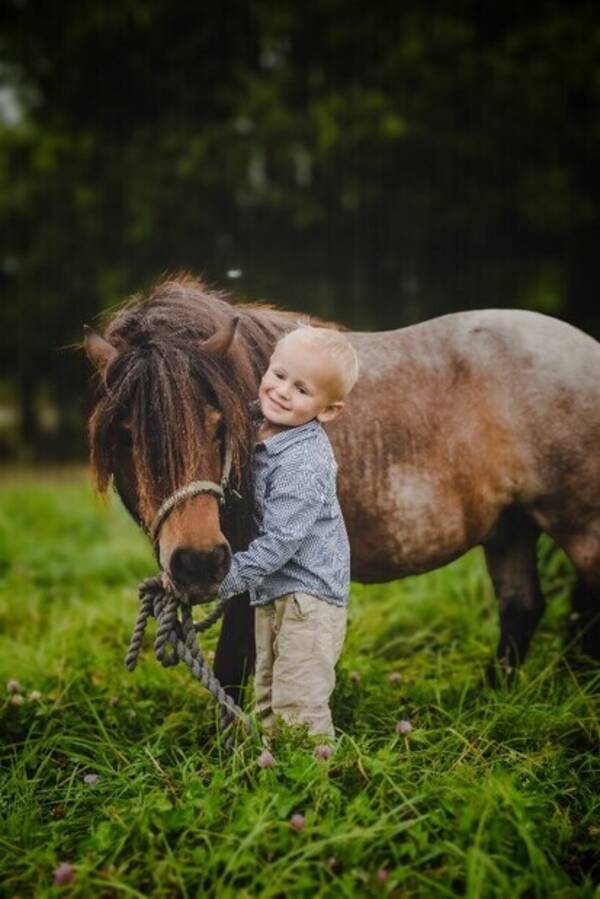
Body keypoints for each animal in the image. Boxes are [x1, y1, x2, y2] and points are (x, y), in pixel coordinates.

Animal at [85, 276, 600, 696]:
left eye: (217, 427)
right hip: (510, 530)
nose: (198, 563)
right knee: (522, 609)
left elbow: (231, 669)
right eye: (126, 435)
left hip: (581, 531)